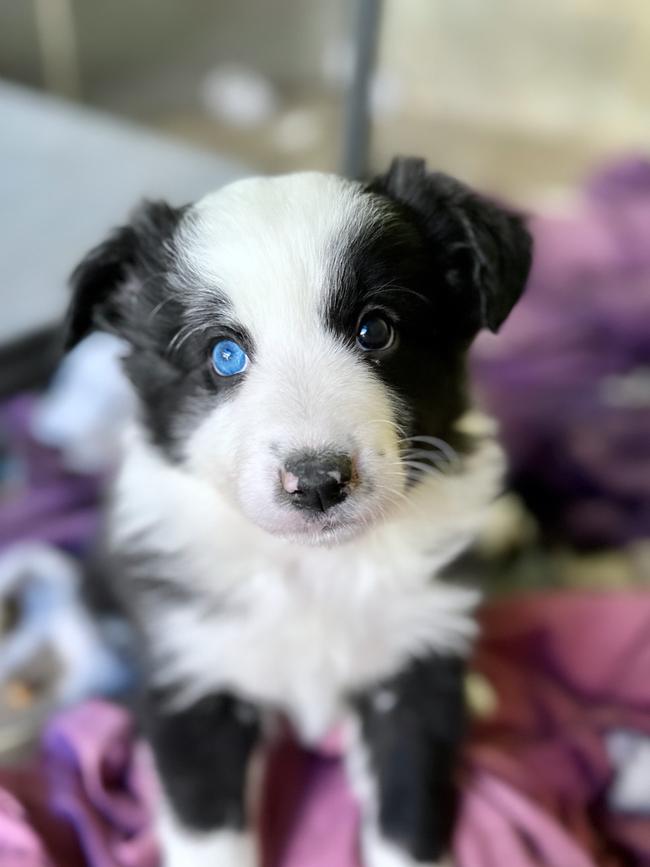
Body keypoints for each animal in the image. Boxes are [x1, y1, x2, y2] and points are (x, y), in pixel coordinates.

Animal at [66, 158, 532, 867]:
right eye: (224, 354)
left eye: (376, 330)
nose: (316, 482)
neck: (317, 568)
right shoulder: (195, 677)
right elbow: (209, 834)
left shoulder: (414, 676)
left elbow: (408, 814)